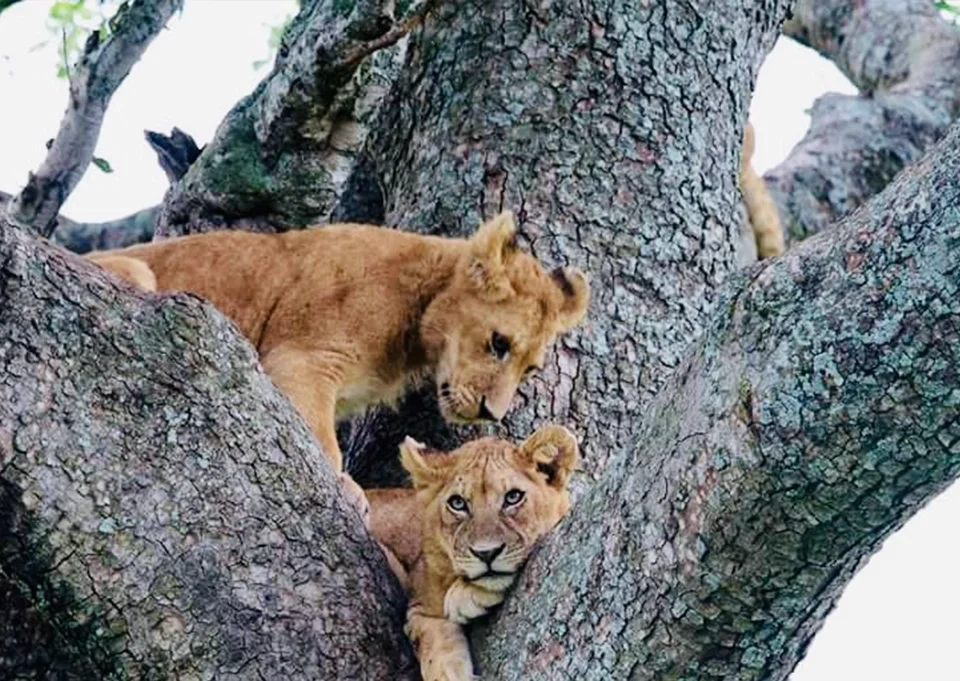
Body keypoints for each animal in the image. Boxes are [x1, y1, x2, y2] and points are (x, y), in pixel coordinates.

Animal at [85, 213, 590, 522]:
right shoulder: (303, 357)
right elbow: (319, 441)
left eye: (529, 369)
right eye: (498, 344)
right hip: (137, 273)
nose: (491, 413)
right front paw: (345, 489)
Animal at [367, 425, 579, 681]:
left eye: (513, 497)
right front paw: (449, 672)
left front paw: (462, 598)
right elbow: (430, 634)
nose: (486, 553)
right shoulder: (420, 604)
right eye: (457, 503)